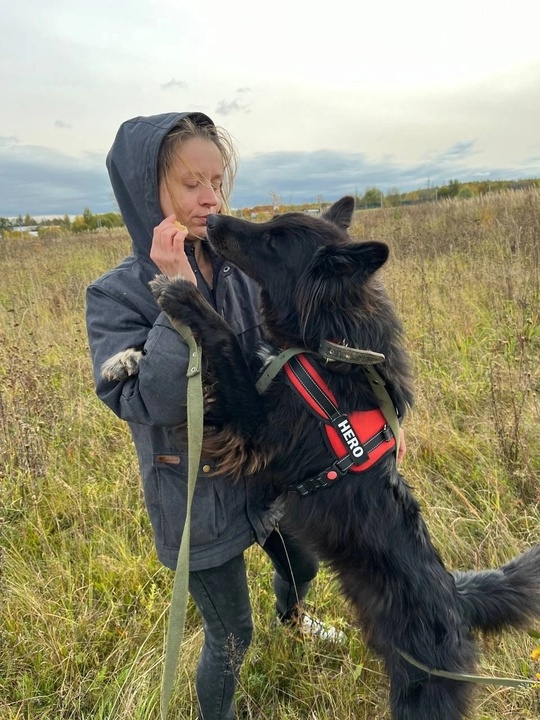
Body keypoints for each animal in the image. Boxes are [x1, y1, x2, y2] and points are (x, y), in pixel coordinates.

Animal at [119, 197, 540, 720]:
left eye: (273, 241)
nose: (212, 219)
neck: (324, 350)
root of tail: (458, 601)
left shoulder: (260, 428)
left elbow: (227, 341)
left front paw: (182, 296)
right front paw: (127, 358)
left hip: (422, 698)